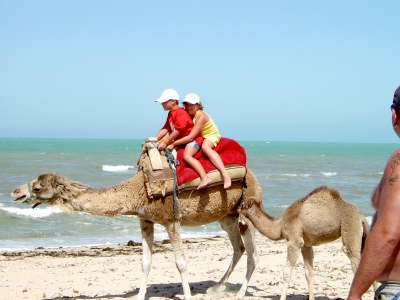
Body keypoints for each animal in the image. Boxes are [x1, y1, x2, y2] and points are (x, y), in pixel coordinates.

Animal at [10, 169, 264, 300]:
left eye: (38, 187)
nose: (15, 192)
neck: (137, 192)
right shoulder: (145, 220)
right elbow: (145, 262)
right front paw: (140, 295)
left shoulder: (171, 219)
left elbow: (181, 262)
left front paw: (187, 296)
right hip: (227, 215)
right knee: (239, 248)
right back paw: (217, 288)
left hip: (247, 209)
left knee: (253, 252)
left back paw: (240, 292)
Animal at [239, 185, 374, 300]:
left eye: (243, 205)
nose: (237, 209)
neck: (280, 226)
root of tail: (361, 217)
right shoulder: (306, 246)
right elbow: (309, 273)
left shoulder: (294, 241)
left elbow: (287, 272)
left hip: (350, 227)